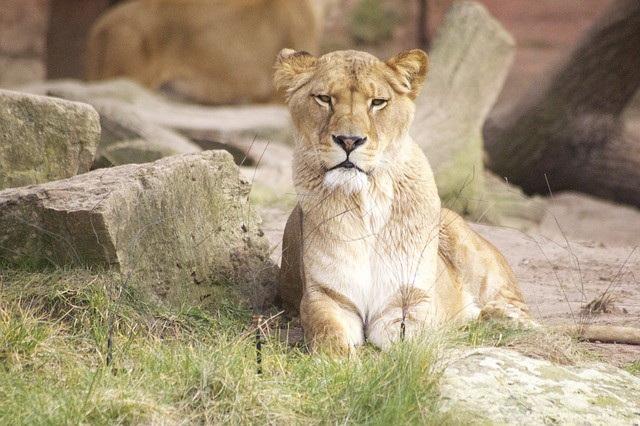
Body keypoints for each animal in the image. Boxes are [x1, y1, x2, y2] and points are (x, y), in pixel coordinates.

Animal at [274, 47, 640, 352]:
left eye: (377, 102)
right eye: (324, 99)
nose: (349, 140)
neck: (368, 201)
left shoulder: (409, 299)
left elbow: (413, 341)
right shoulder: (327, 297)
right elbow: (329, 335)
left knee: (527, 319)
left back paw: (495, 318)